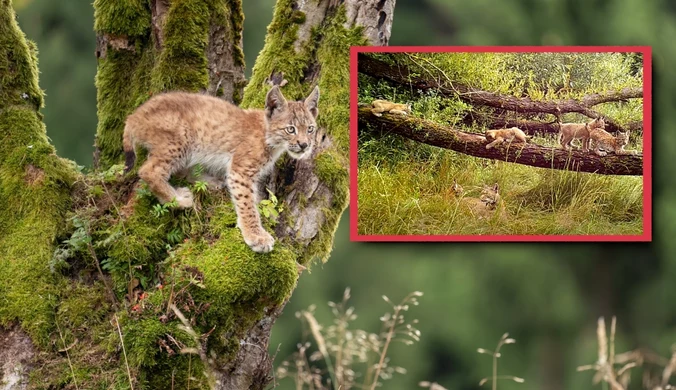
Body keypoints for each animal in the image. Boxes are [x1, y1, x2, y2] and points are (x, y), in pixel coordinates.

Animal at [123, 85, 320, 253]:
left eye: (310, 129)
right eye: (291, 129)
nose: (304, 145)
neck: (271, 138)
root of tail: (135, 114)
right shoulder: (240, 171)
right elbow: (247, 204)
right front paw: (256, 236)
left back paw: (209, 182)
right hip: (180, 141)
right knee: (148, 170)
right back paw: (178, 199)